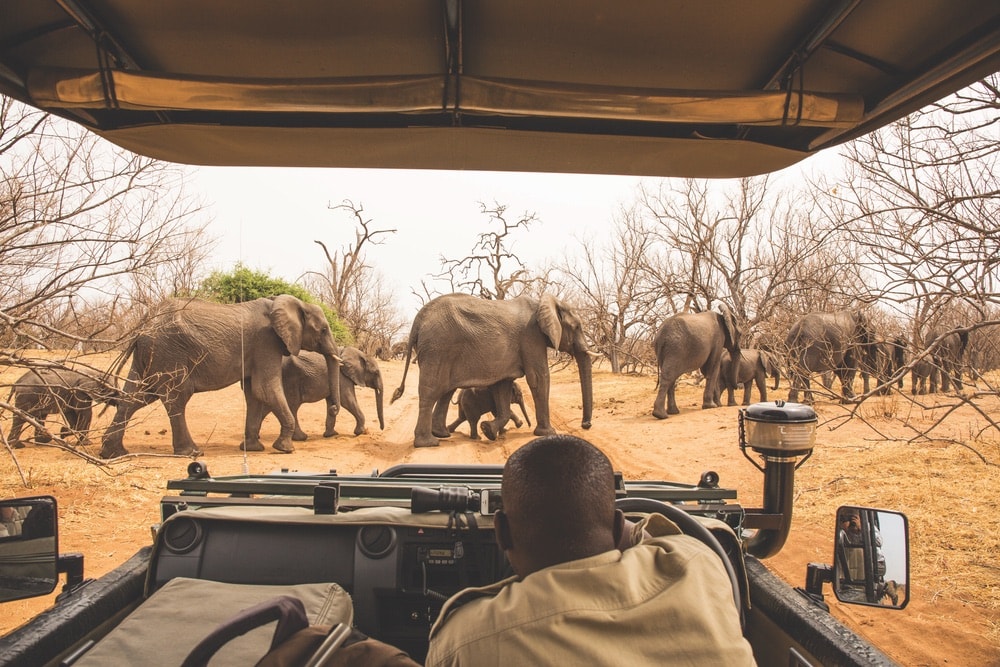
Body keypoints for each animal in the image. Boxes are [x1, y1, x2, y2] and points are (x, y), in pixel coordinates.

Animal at [101, 298, 342, 460]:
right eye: (323, 329)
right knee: (176, 397)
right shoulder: (266, 341)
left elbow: (254, 393)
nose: (333, 409)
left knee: (136, 397)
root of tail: (142, 327)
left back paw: (113, 453)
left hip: (150, 356)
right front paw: (285, 448)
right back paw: (191, 452)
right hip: (169, 353)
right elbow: (265, 389)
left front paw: (252, 448)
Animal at [256, 348, 384, 440]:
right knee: (293, 406)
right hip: (290, 378)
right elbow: (347, 400)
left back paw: (256, 438)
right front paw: (360, 432)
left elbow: (331, 401)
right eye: (376, 373)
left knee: (269, 406)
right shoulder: (342, 378)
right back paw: (301, 438)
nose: (382, 429)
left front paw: (331, 435)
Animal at [390, 294, 592, 446]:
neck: (544, 301)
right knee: (431, 392)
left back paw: (443, 435)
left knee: (446, 392)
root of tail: (418, 320)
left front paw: (488, 430)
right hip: (437, 348)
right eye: (576, 327)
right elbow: (538, 378)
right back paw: (428, 443)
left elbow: (502, 386)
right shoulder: (531, 337)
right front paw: (548, 433)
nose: (586, 425)